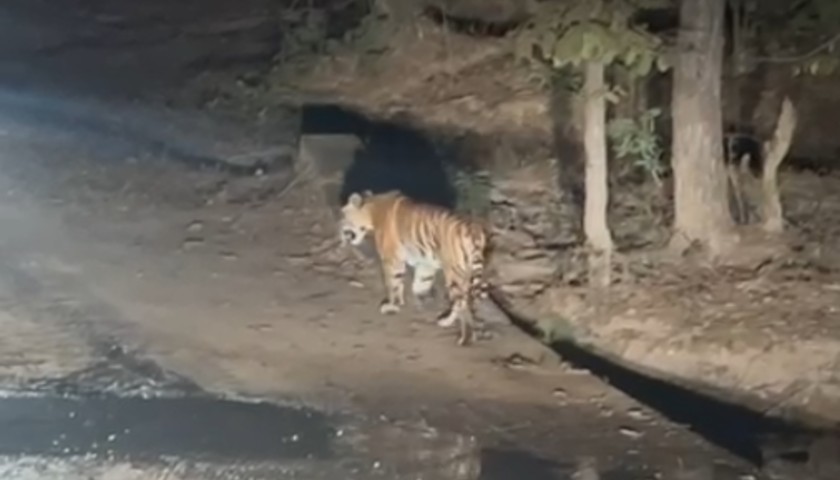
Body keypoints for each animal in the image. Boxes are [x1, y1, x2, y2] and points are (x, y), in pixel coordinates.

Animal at [338, 188, 488, 344]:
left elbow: (392, 284)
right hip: (465, 275)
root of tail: (475, 232)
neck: (371, 211)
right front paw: (412, 301)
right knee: (466, 303)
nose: (340, 229)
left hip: (454, 274)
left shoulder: (391, 259)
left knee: (461, 303)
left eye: (343, 216)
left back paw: (460, 334)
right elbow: (417, 284)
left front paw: (390, 306)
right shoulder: (425, 263)